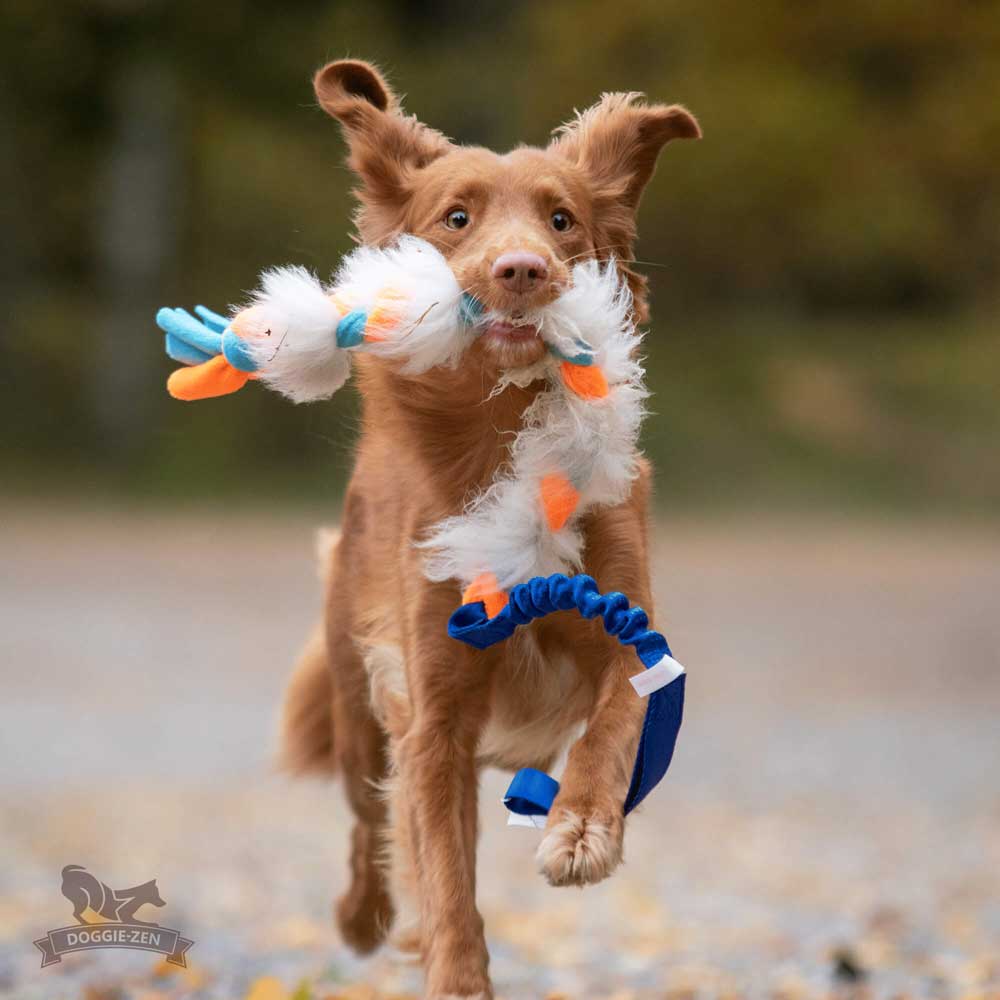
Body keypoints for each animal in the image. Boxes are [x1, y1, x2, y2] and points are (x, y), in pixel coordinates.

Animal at [278, 60, 692, 1000]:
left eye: (562, 218)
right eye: (456, 217)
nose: (524, 270)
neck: (500, 438)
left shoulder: (629, 631)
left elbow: (615, 726)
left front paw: (582, 826)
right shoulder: (434, 715)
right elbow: (442, 871)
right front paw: (456, 975)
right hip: (358, 708)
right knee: (368, 821)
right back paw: (362, 916)